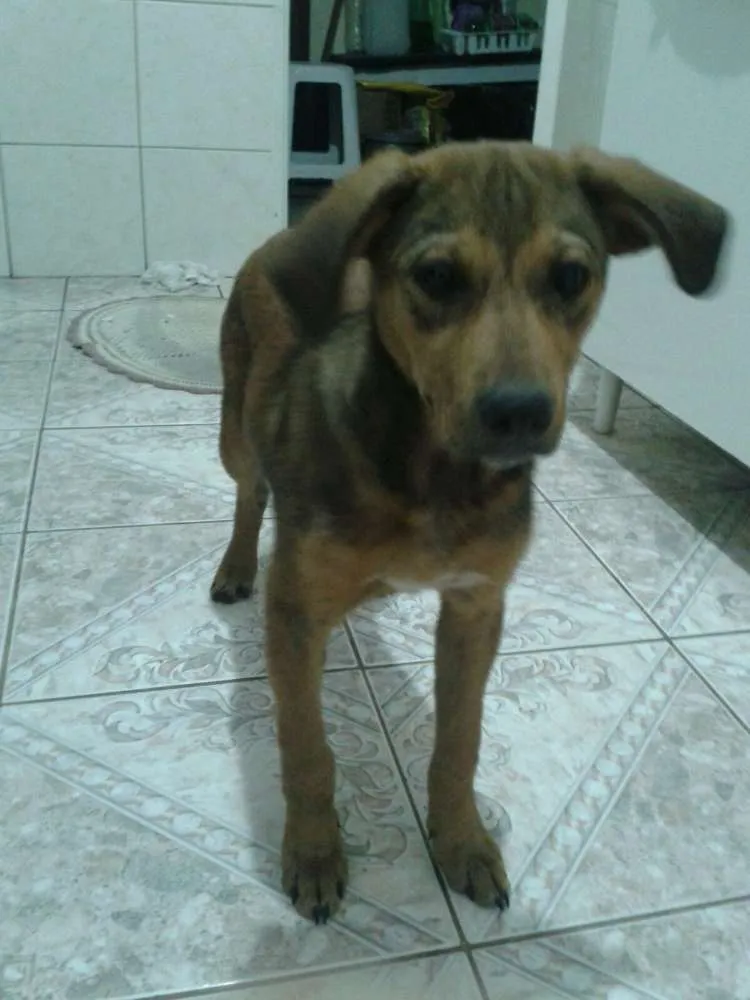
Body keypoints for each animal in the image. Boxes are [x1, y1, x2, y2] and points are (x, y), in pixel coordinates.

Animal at [211, 141, 728, 924]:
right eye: (436, 277)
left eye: (571, 276)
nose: (518, 412)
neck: (435, 478)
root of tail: (283, 235)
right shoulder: (295, 616)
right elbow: (306, 748)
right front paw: (315, 851)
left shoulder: (477, 607)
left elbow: (461, 743)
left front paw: (462, 843)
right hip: (235, 428)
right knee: (249, 493)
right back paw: (239, 565)